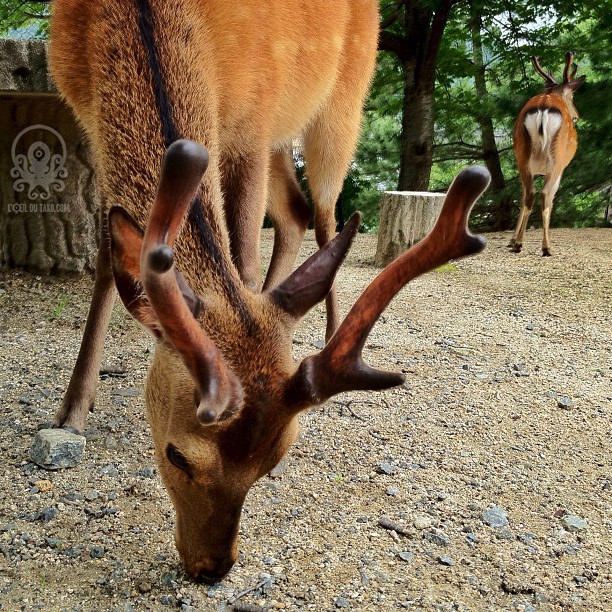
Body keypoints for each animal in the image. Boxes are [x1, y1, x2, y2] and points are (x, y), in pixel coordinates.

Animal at [45, 0, 490, 584]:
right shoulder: (84, 111)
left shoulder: (251, 118)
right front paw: (73, 408)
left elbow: (244, 254)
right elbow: (104, 254)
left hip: (341, 104)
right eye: (177, 455)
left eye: (272, 465)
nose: (212, 568)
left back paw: (328, 325)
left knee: (325, 214)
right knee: (295, 212)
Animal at [510, 51, 584, 255]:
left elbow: (521, 197)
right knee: (544, 195)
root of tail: (543, 107)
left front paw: (512, 239)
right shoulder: (561, 169)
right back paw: (546, 246)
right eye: (572, 95)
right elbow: (552, 198)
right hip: (557, 159)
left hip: (522, 155)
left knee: (529, 195)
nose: (577, 115)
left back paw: (518, 243)